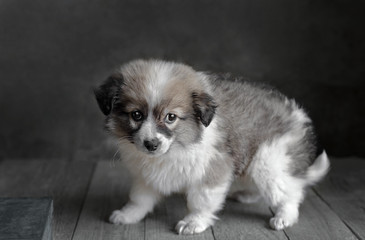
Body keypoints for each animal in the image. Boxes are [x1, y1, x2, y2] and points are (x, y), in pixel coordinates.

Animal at [93, 59, 328, 234]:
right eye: (136, 115)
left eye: (171, 117)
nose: (151, 144)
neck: (177, 146)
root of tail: (298, 116)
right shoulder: (146, 174)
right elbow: (139, 198)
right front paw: (128, 214)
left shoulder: (212, 169)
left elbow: (201, 201)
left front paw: (193, 222)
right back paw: (247, 195)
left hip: (269, 161)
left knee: (289, 192)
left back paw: (284, 216)